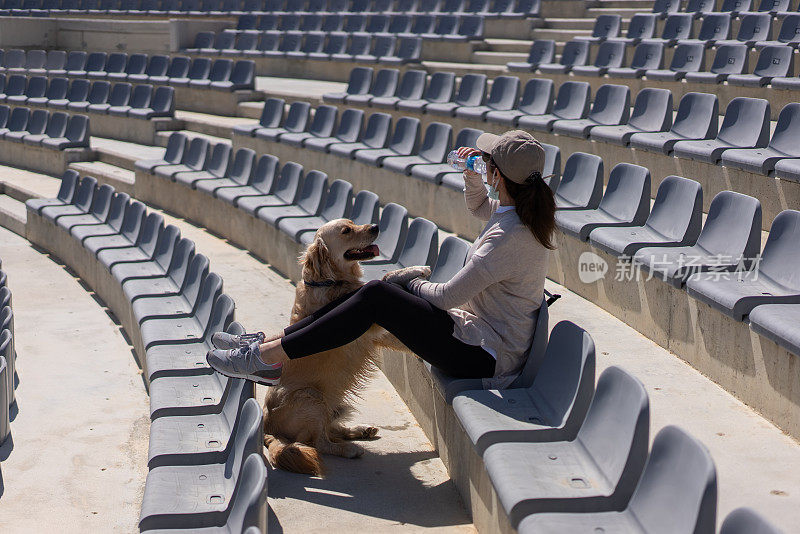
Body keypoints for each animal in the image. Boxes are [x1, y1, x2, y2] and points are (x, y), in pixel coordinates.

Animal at [262, 218, 428, 478]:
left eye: (353, 223)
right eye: (346, 231)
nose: (376, 226)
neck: (328, 280)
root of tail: (267, 428)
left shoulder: (374, 335)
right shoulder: (366, 313)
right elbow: (382, 280)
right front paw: (416, 269)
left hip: (331, 405)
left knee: (329, 430)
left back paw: (360, 431)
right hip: (312, 398)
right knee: (318, 442)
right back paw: (349, 449)